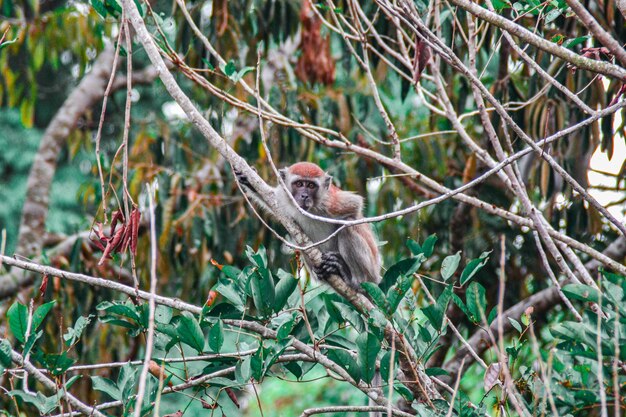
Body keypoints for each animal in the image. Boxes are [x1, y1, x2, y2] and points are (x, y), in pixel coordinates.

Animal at [234, 161, 380, 288]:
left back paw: (354, 279)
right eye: (299, 184)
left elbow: (355, 207)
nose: (304, 196)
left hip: (371, 270)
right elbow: (270, 199)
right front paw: (248, 181)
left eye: (311, 186)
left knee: (347, 227)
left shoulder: (330, 203)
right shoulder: (283, 197)